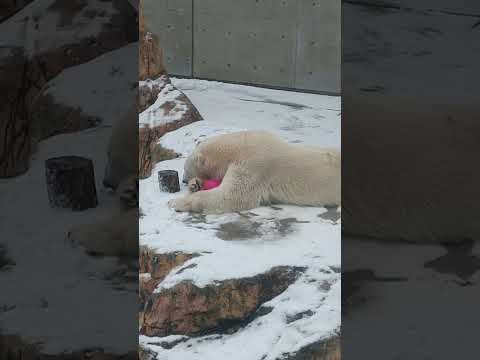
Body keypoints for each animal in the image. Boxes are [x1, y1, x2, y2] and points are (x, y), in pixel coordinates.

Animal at [169, 130, 342, 212]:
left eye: (185, 168)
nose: (184, 180)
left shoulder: (254, 163)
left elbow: (233, 195)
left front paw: (175, 202)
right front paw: (195, 185)